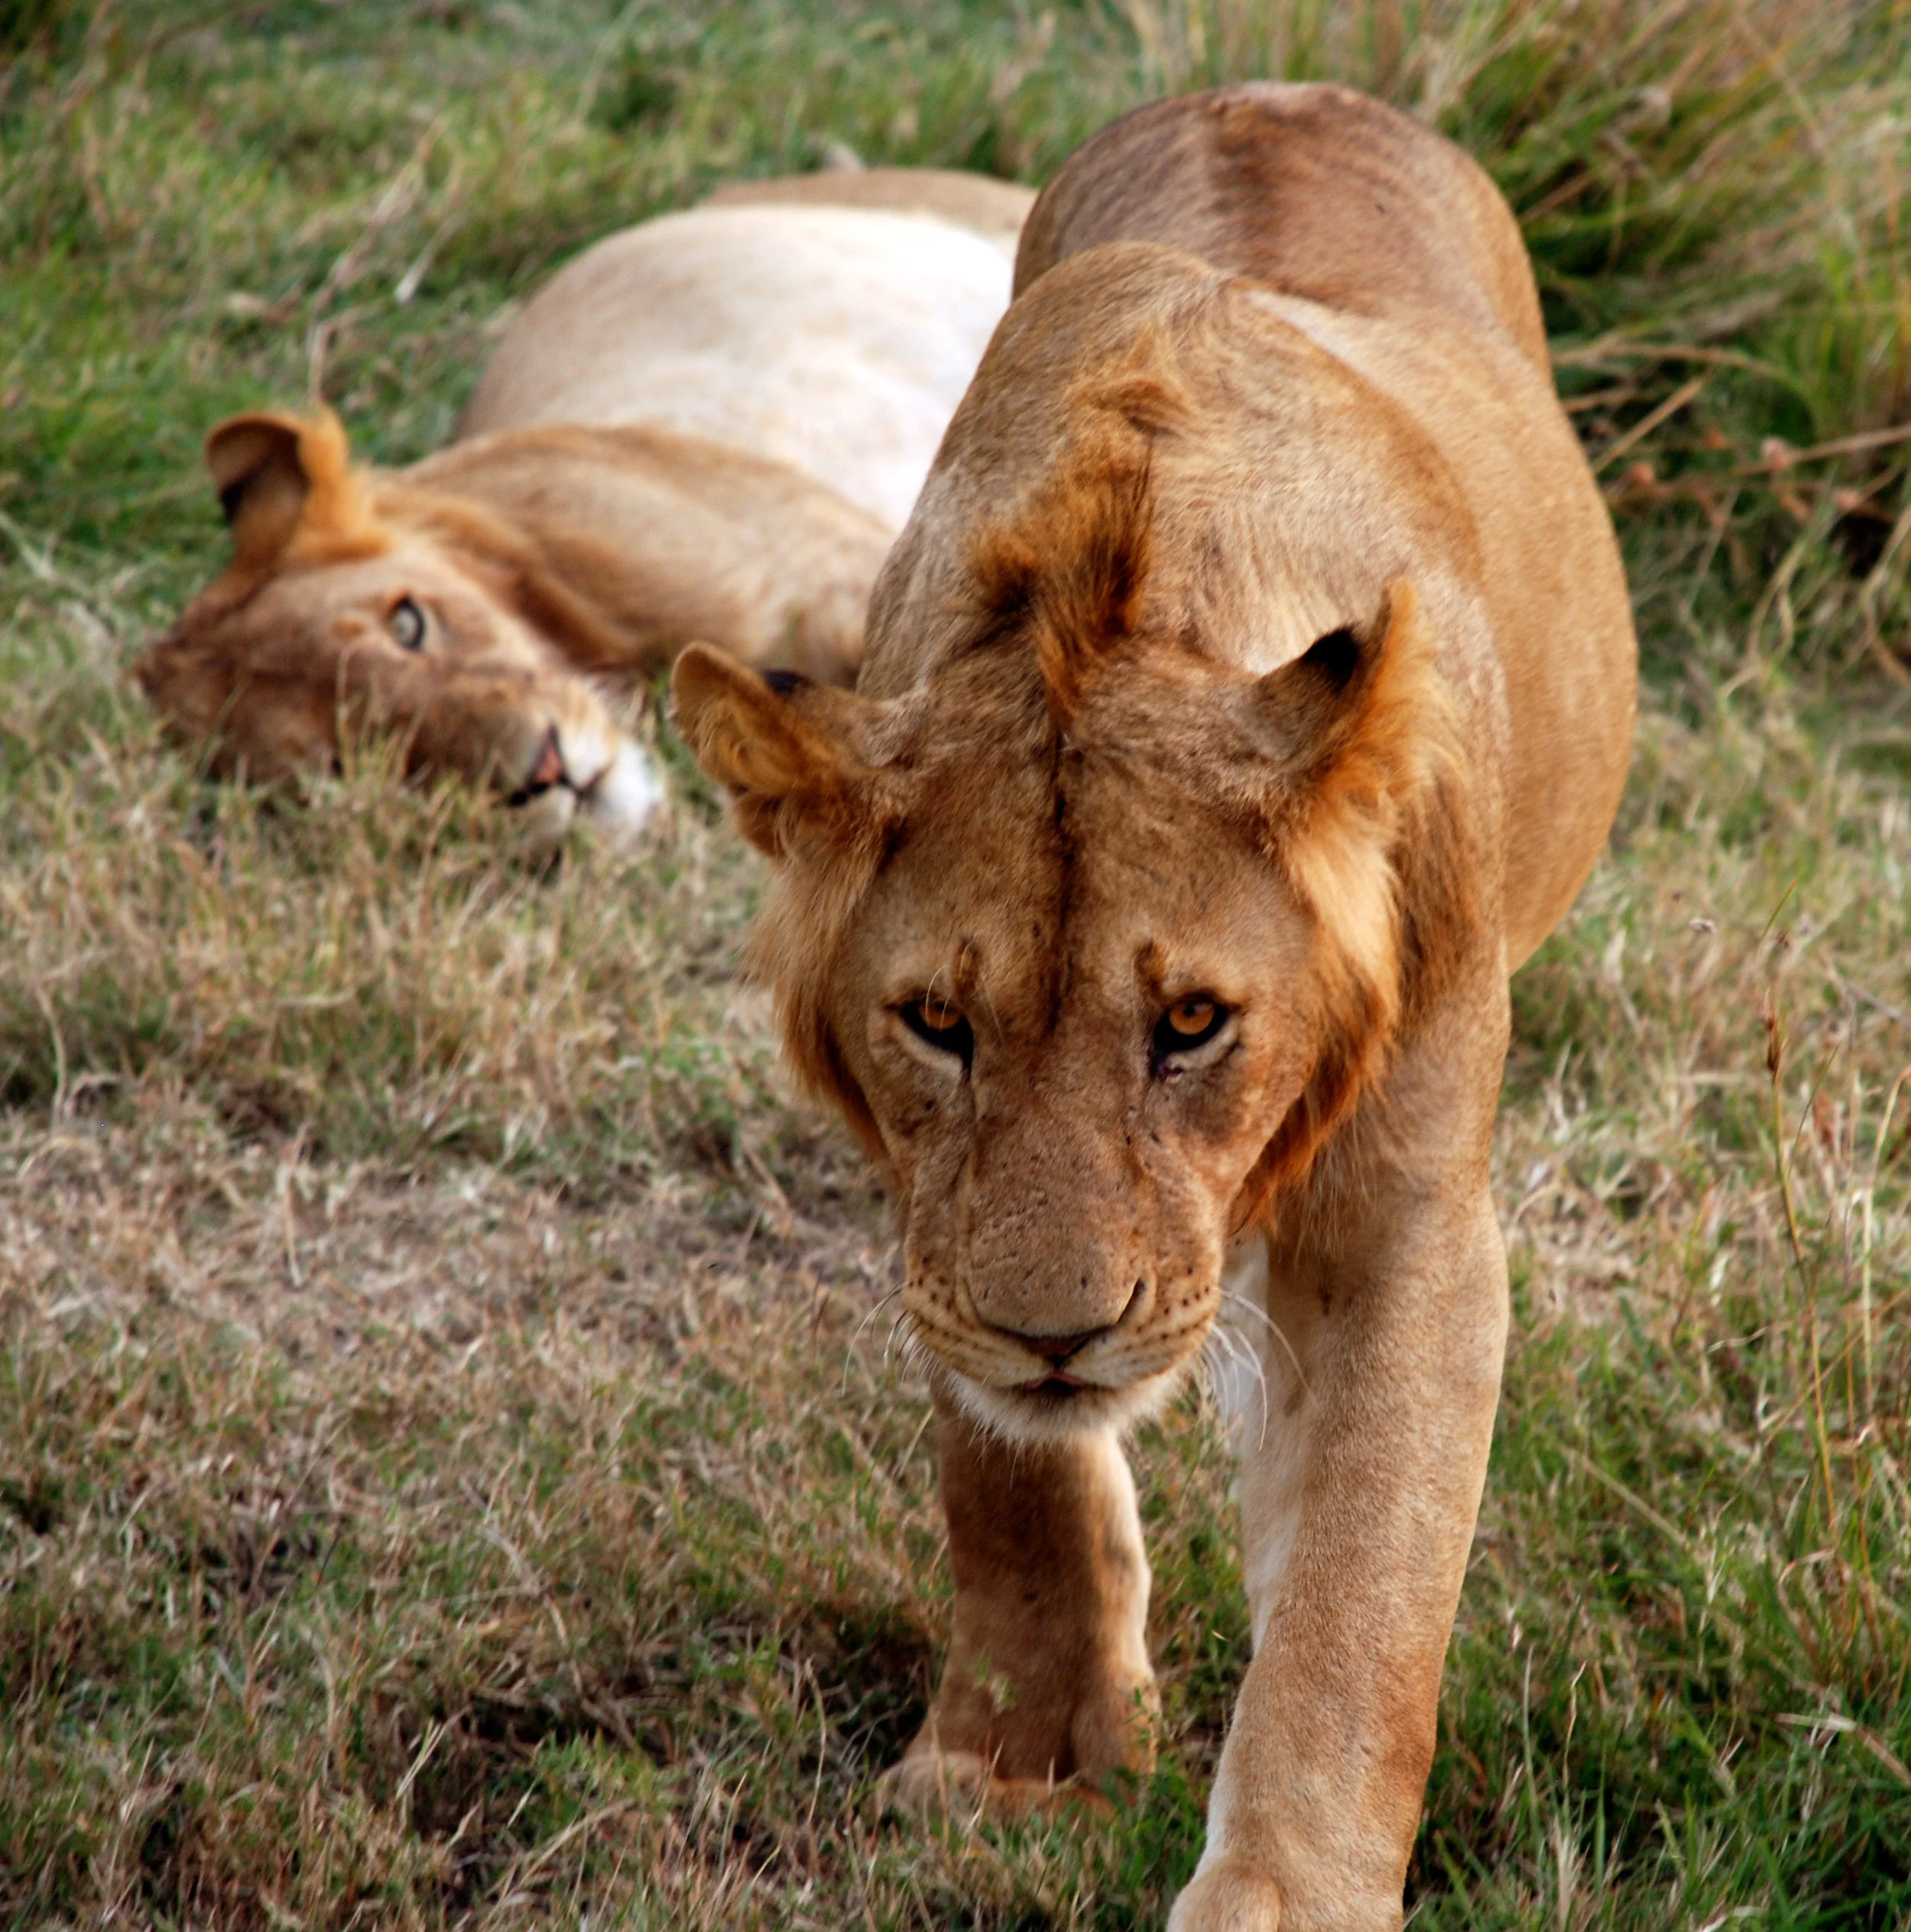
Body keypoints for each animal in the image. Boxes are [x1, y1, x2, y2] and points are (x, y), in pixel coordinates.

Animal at [672, 87, 1636, 1930]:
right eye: (937, 1024)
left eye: (1191, 1022)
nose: (1063, 1333)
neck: (1109, 591)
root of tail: (1276, 90)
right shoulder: (937, 1206)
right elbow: (1006, 1472)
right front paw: (1015, 1759)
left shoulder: (1408, 1219)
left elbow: (1359, 1588)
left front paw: (1277, 1893)